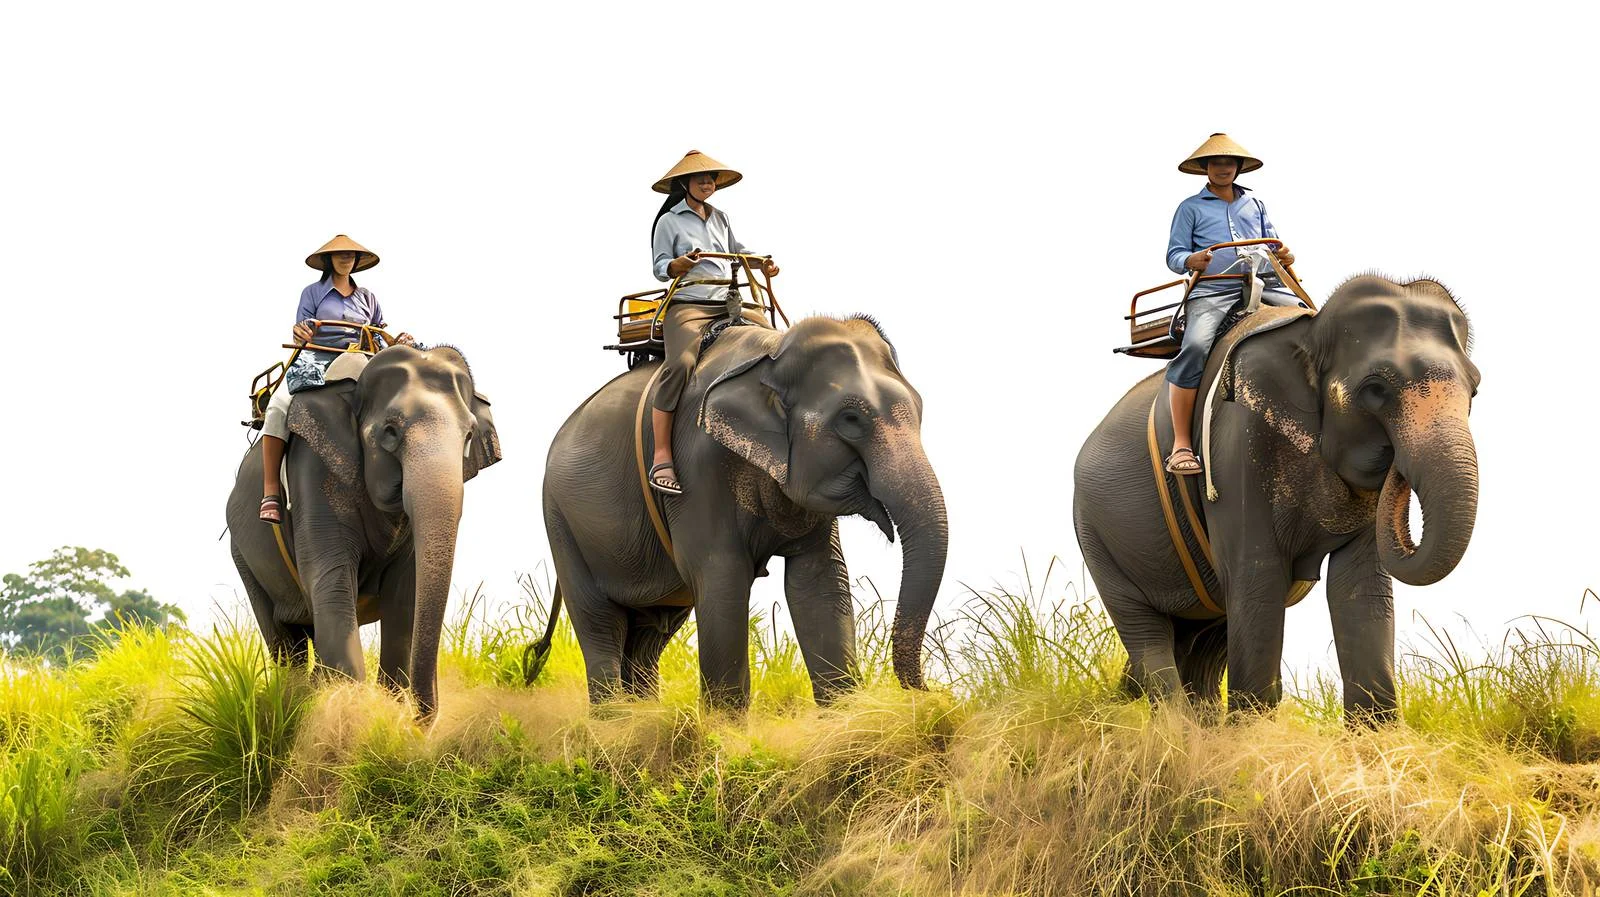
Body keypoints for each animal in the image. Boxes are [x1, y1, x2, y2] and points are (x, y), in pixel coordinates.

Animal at [226, 344, 501, 718]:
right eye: (390, 431)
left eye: (469, 435)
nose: (419, 721)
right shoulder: (312, 469)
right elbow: (332, 579)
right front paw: (350, 714)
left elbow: (405, 592)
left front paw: (386, 709)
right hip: (243, 553)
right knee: (284, 641)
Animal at [534, 314, 948, 709]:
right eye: (851, 420)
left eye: (920, 412)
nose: (929, 692)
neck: (771, 353)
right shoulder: (698, 468)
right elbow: (722, 577)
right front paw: (723, 728)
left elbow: (820, 581)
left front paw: (846, 720)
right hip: (561, 520)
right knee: (601, 624)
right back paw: (614, 722)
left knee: (650, 632)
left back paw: (642, 716)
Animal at [1073, 274, 1480, 721]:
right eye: (1375, 390)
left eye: (1474, 391)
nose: (1394, 465)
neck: (1309, 332)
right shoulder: (1237, 443)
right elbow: (1258, 574)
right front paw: (1252, 732)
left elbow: (1360, 584)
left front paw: (1378, 736)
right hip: (1096, 536)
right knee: (1146, 629)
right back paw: (1174, 726)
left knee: (1206, 634)